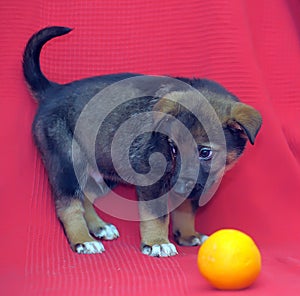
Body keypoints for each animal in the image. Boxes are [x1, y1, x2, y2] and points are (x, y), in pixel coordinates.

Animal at [22, 26, 262, 256]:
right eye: (173, 148)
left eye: (205, 152)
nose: (178, 188)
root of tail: (53, 91)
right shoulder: (151, 181)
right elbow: (156, 216)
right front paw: (157, 243)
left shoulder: (199, 183)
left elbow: (186, 209)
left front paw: (187, 234)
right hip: (68, 162)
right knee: (68, 206)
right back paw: (83, 240)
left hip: (103, 165)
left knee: (86, 196)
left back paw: (99, 227)